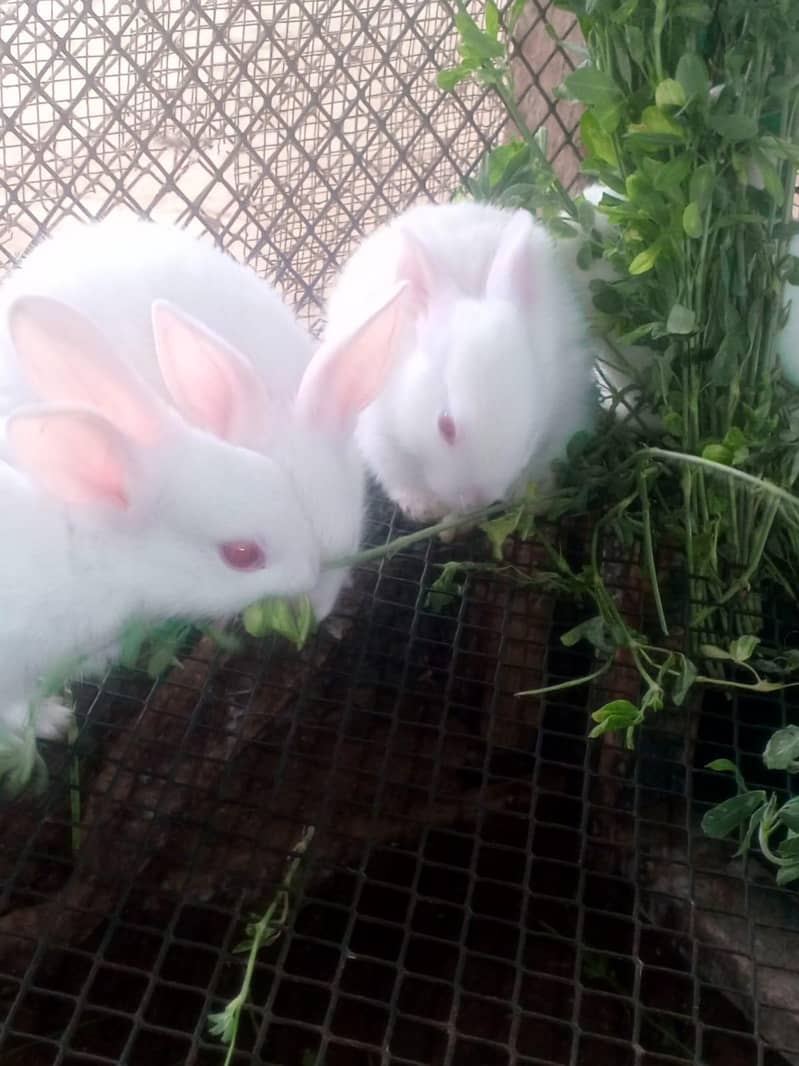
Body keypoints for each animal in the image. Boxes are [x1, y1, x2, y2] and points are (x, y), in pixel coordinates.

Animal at [321, 200, 597, 522]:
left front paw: (533, 496)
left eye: (529, 433)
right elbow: (401, 480)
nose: (478, 500)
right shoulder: (380, 439)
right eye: (446, 426)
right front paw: (425, 509)